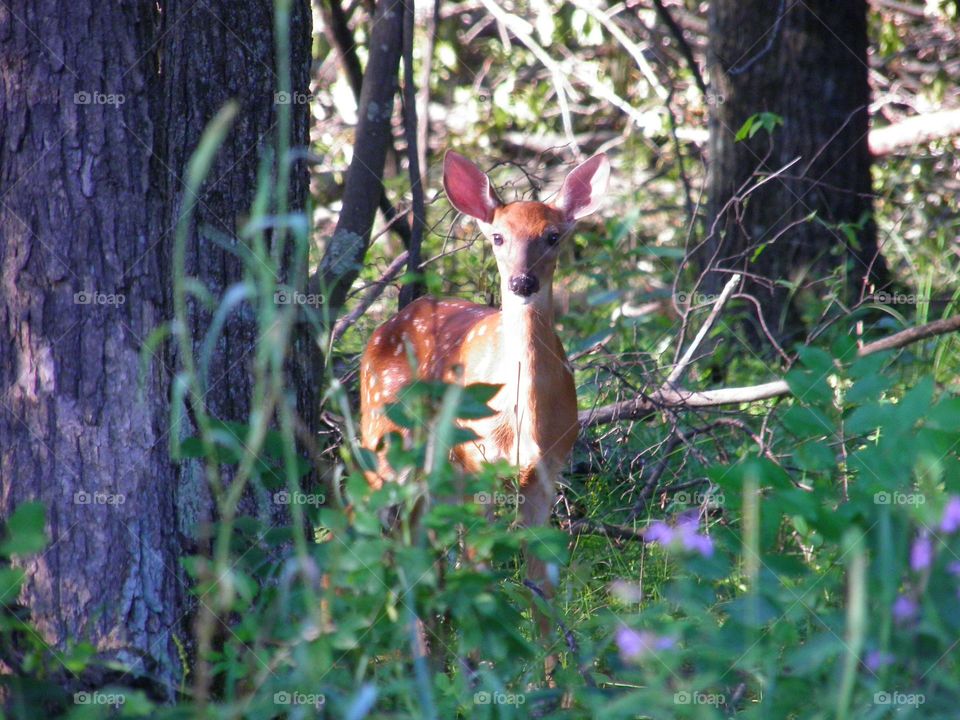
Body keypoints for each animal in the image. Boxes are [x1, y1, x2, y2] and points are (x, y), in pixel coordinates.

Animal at [358, 150, 609, 653]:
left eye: (553, 236)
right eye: (497, 236)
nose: (521, 282)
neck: (522, 424)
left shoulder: (547, 472)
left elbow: (540, 586)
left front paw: (551, 670)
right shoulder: (479, 463)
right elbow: (479, 574)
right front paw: (484, 666)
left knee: (425, 552)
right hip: (384, 440)